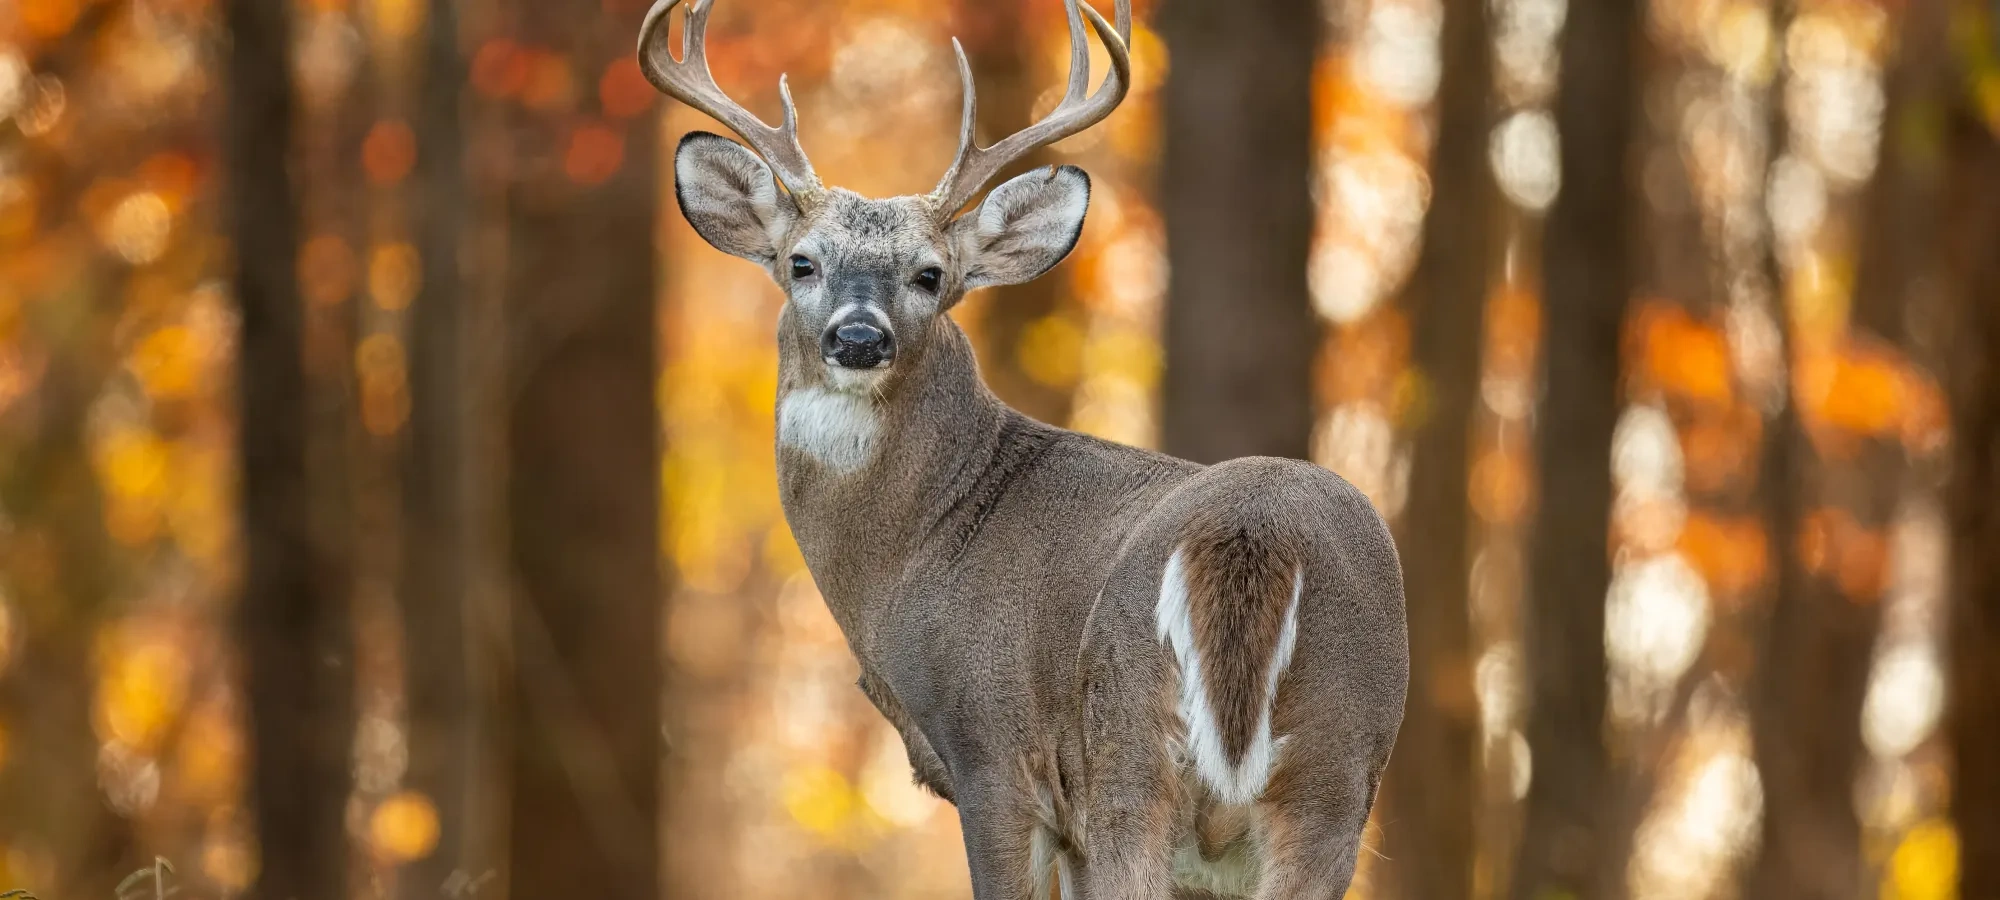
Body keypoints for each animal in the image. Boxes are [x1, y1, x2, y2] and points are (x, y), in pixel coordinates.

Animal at [639, 0, 1409, 896]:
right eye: (802, 263)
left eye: (930, 274)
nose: (859, 337)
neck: (918, 544)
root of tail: (1253, 532)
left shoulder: (992, 751)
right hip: (1338, 765)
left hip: (1125, 751)